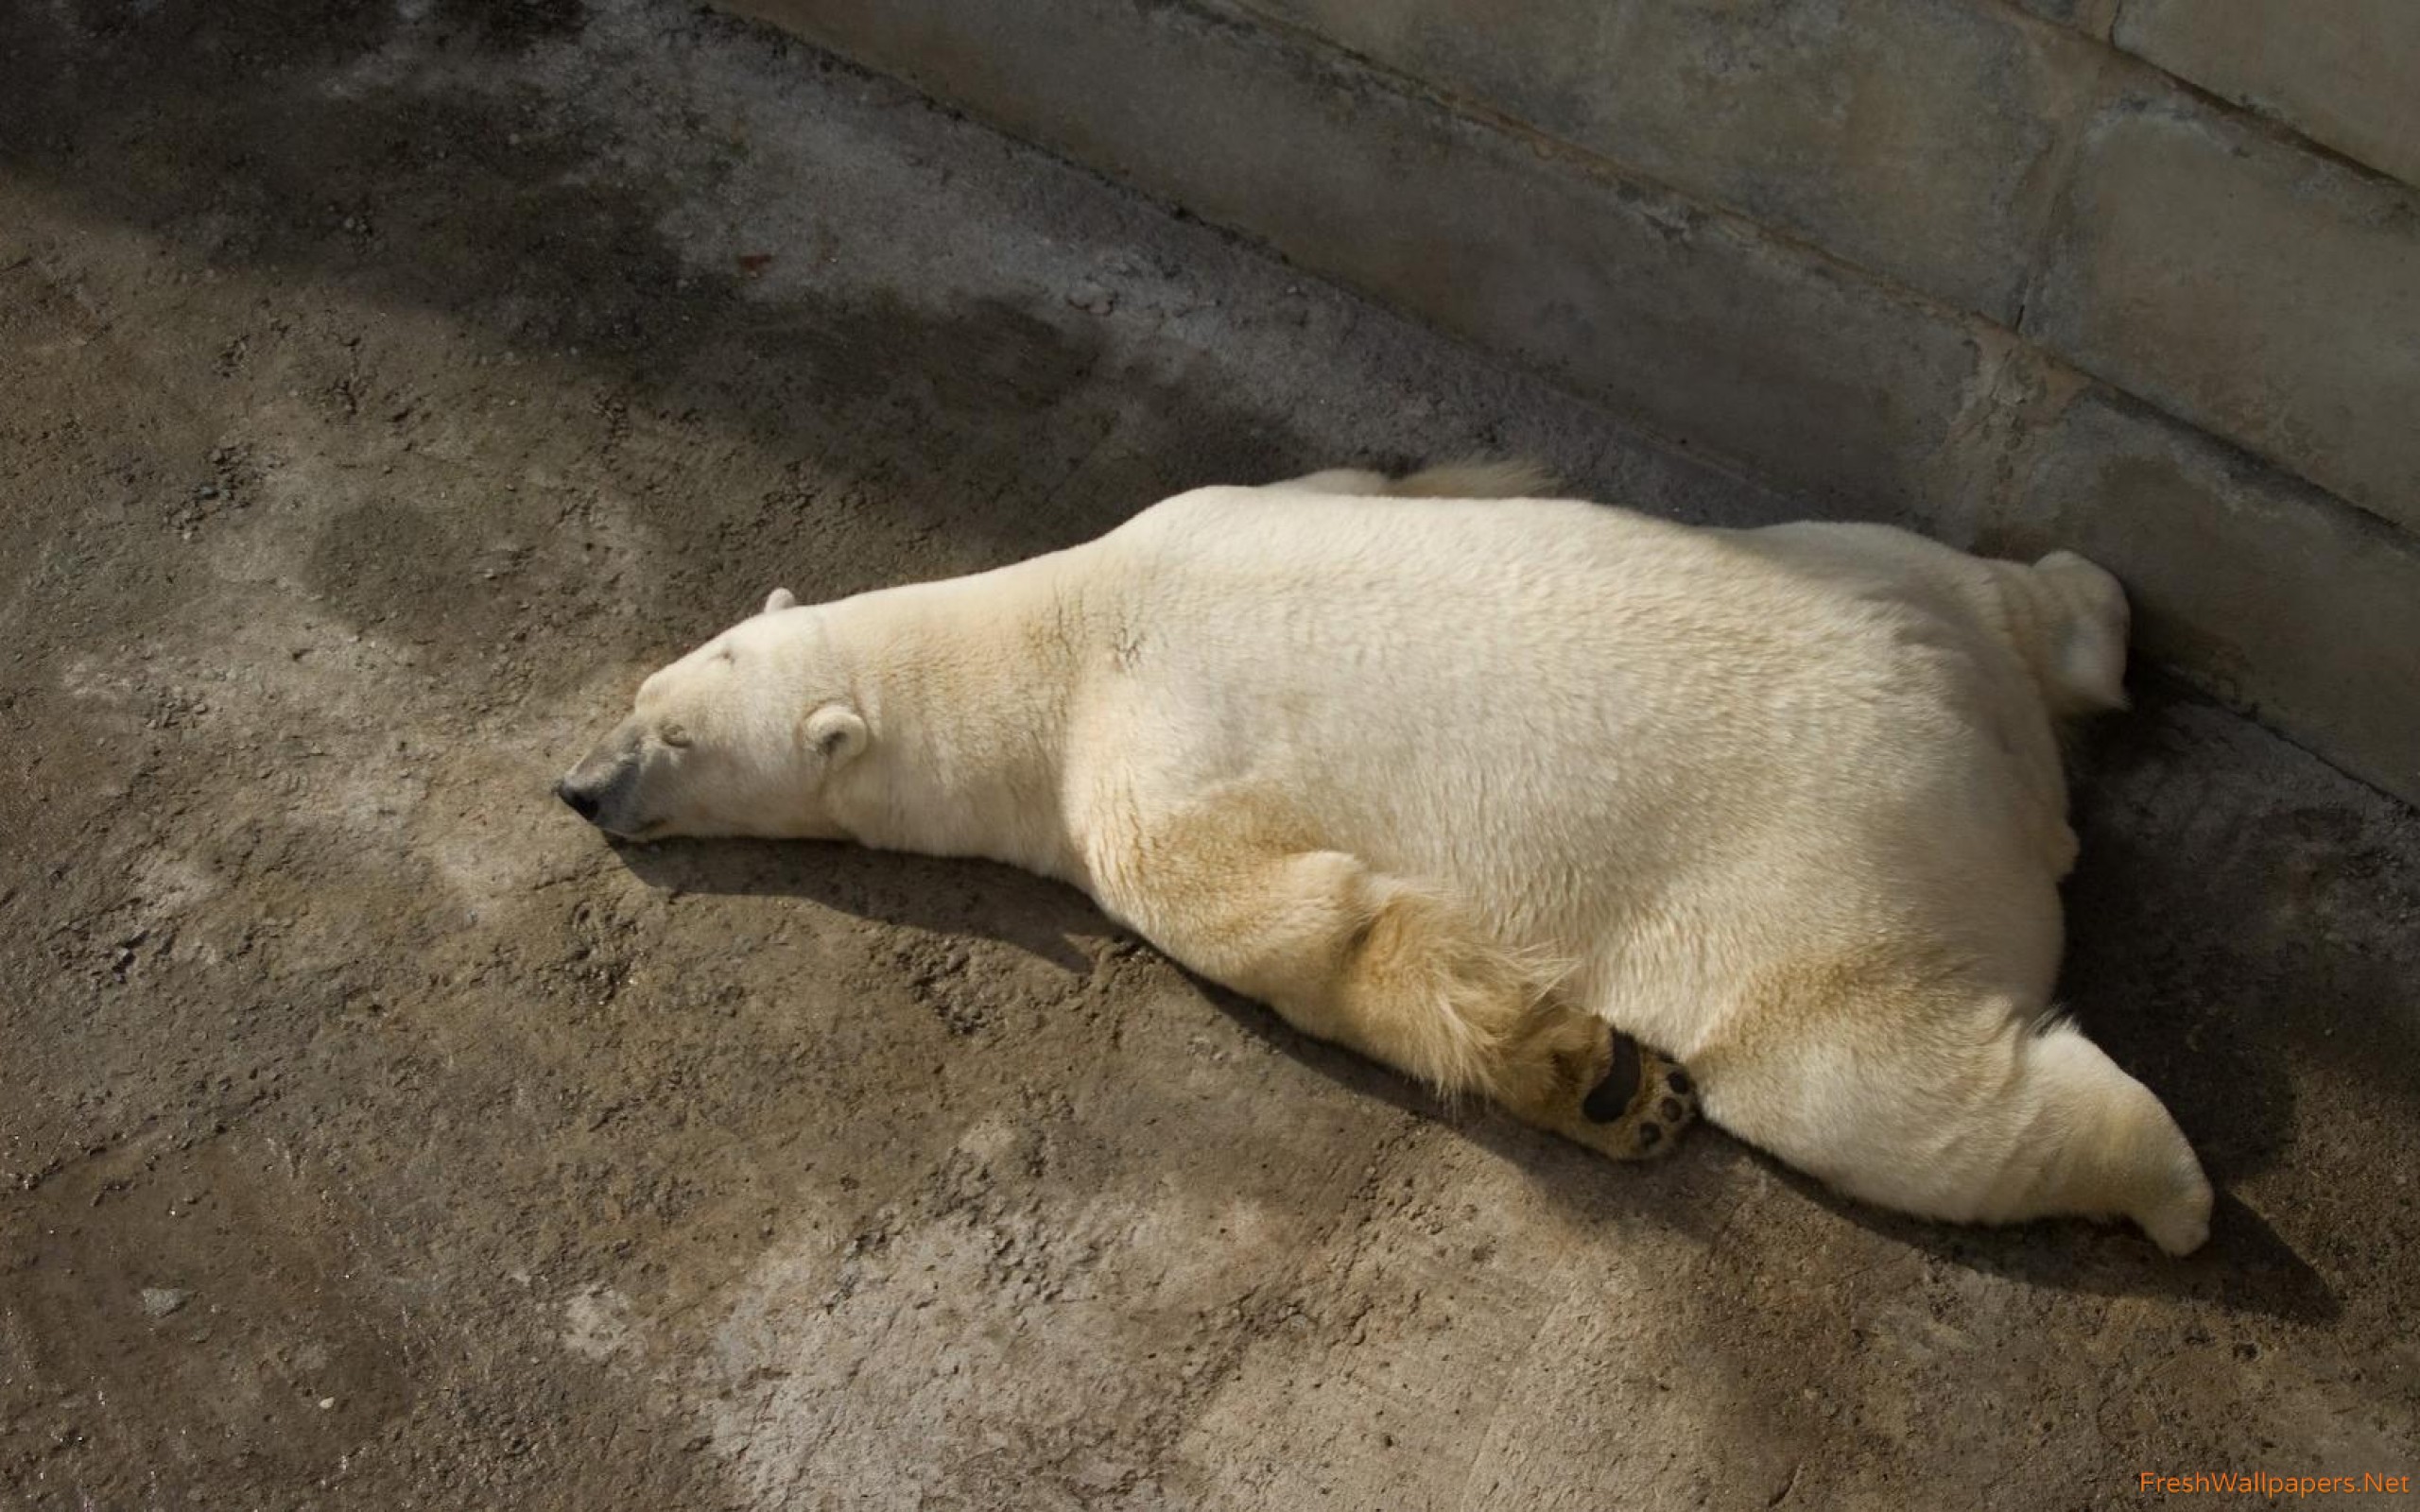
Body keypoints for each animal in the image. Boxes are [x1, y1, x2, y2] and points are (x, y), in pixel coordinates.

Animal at [558, 461, 2213, 1254]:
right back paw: (2091, 615)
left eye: (676, 742)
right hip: (1878, 569)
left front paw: (1590, 1072)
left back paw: (2171, 1189)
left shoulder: (1134, 773)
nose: (580, 787)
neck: (1057, 630)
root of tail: (1988, 757)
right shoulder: (1234, 504)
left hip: (1820, 883)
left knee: (1876, 1088)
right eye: (642, 692)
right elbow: (1371, 483)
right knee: (2015, 586)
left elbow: (1298, 921)